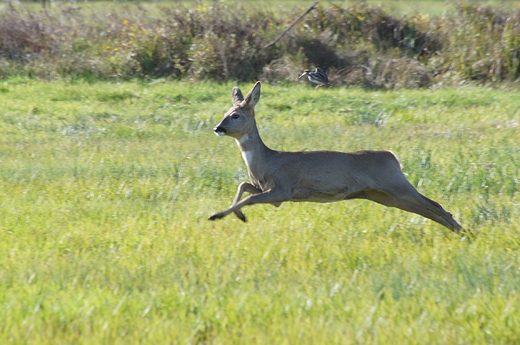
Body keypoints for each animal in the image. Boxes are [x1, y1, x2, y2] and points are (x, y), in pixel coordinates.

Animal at [209, 81, 470, 236]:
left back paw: (463, 232)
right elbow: (243, 185)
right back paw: (460, 233)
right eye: (225, 113)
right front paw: (238, 215)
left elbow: (250, 197)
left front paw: (217, 215)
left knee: (434, 205)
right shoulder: (268, 188)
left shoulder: (282, 189)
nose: (217, 128)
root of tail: (392, 156)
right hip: (381, 194)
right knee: (426, 210)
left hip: (395, 184)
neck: (266, 161)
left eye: (235, 115)